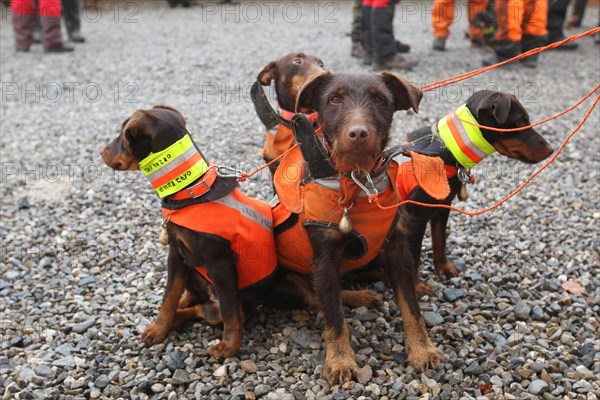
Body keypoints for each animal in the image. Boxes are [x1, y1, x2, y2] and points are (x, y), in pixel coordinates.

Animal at [274, 72, 442, 384]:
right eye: (334, 99)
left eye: (380, 99)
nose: (358, 133)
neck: (358, 181)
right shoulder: (324, 257)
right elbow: (333, 314)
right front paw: (340, 361)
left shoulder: (397, 247)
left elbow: (411, 306)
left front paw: (422, 349)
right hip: (287, 279)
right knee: (316, 296)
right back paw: (358, 295)